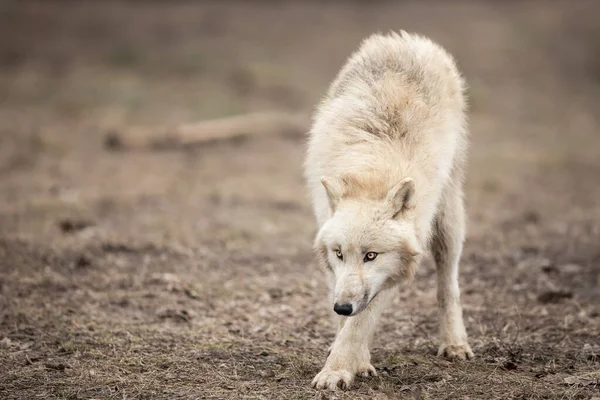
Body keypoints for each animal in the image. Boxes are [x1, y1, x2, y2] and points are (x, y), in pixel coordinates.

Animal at [304, 32, 474, 390]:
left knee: (448, 284)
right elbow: (350, 323)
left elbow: (359, 325)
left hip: (449, 219)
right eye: (339, 253)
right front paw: (356, 362)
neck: (371, 175)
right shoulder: (332, 263)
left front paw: (337, 369)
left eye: (371, 255)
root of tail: (407, 39)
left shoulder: (393, 270)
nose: (342, 307)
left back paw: (454, 343)